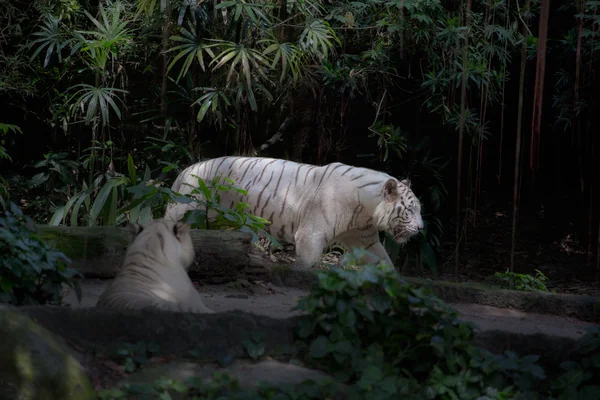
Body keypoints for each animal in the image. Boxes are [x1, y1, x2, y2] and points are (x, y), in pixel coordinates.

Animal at [162, 156, 424, 268]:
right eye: (411, 210)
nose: (421, 229)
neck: (366, 210)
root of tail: (183, 171)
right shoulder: (311, 234)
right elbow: (308, 263)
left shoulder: (363, 239)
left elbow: (385, 261)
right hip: (183, 211)